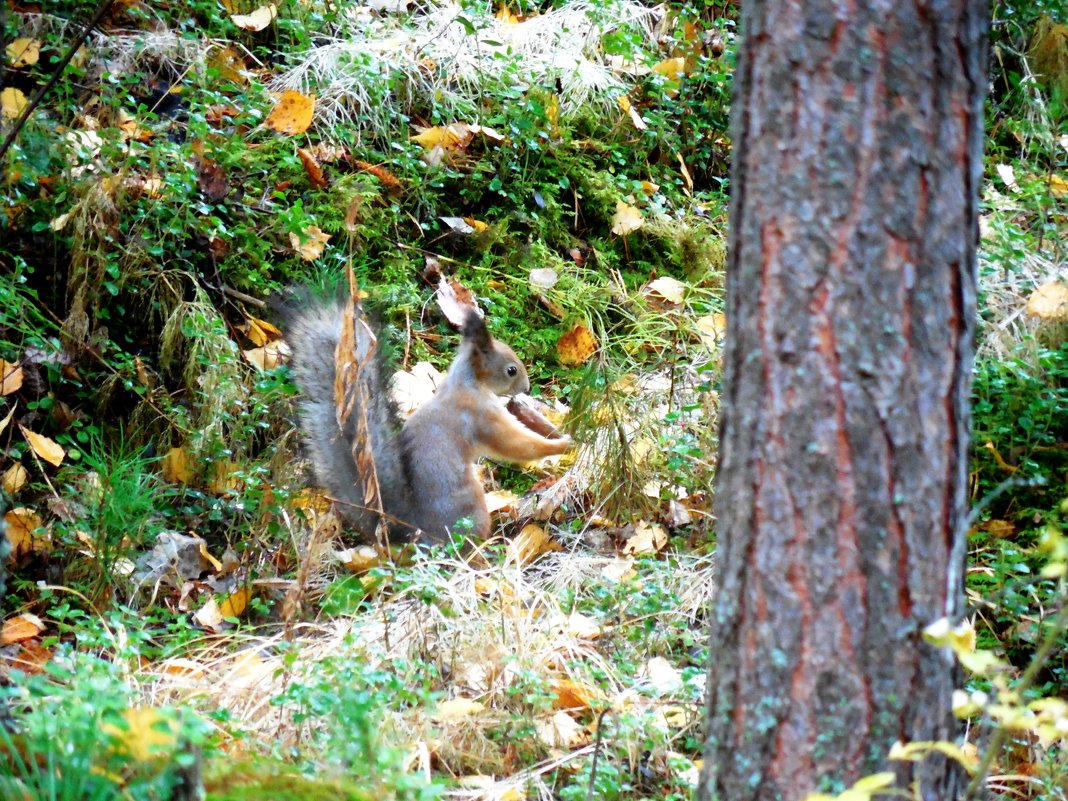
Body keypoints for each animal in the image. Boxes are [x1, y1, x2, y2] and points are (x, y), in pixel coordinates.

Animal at [279, 294, 572, 546]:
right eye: (511, 370)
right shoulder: (481, 416)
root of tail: (413, 528)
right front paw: (562, 445)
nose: (526, 387)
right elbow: (516, 444)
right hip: (470, 508)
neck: (466, 383)